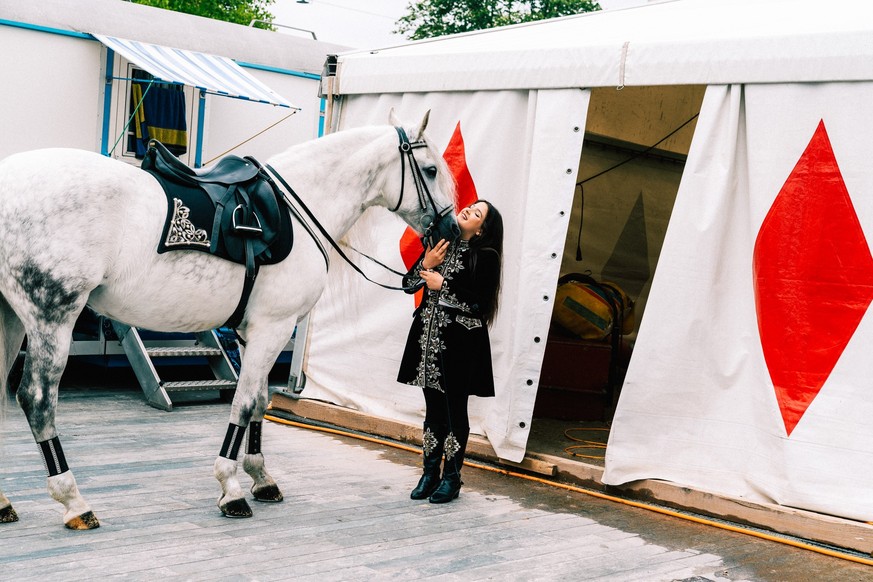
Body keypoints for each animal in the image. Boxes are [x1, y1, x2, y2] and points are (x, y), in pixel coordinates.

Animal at [0, 112, 456, 532]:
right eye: (431, 170)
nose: (452, 228)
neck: (300, 207)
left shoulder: (253, 334)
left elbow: (260, 400)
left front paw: (260, 476)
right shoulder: (273, 327)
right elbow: (246, 402)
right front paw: (231, 487)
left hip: (10, 317)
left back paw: (5, 502)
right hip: (51, 317)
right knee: (36, 399)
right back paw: (73, 501)